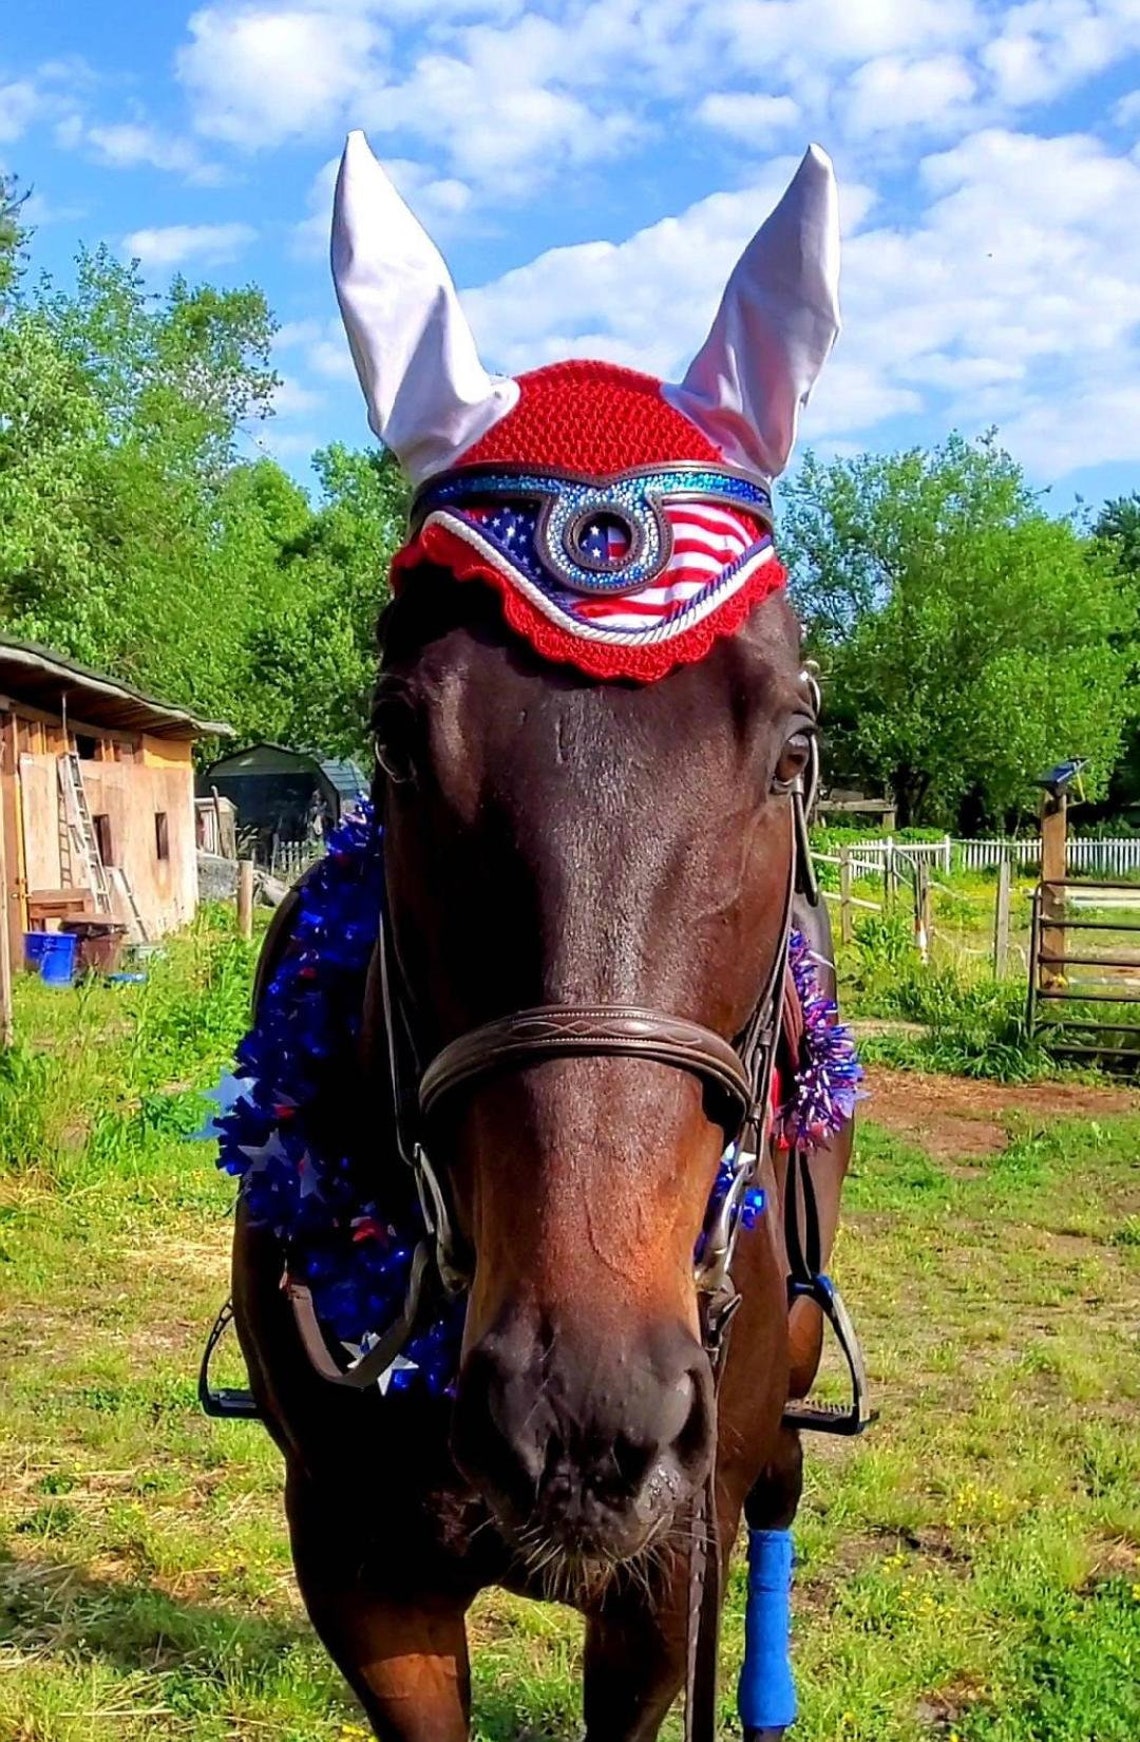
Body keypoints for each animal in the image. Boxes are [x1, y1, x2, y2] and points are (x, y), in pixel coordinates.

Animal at [210, 132, 867, 1742]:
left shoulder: (662, 1582)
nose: (587, 1413)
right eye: (394, 734)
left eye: (791, 744)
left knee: (782, 1489)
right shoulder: (359, 1572)